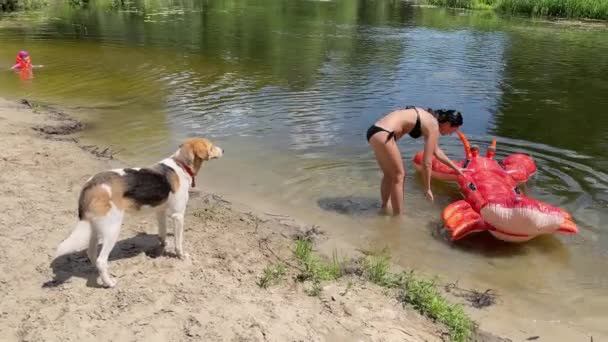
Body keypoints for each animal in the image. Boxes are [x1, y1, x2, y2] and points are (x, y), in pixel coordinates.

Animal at [54, 138, 223, 288]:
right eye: (211, 146)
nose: (223, 150)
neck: (180, 165)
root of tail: (90, 184)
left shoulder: (160, 212)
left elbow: (162, 234)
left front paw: (162, 247)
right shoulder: (178, 216)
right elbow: (178, 242)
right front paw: (181, 256)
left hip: (95, 228)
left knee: (92, 254)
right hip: (112, 230)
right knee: (101, 260)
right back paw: (109, 283)